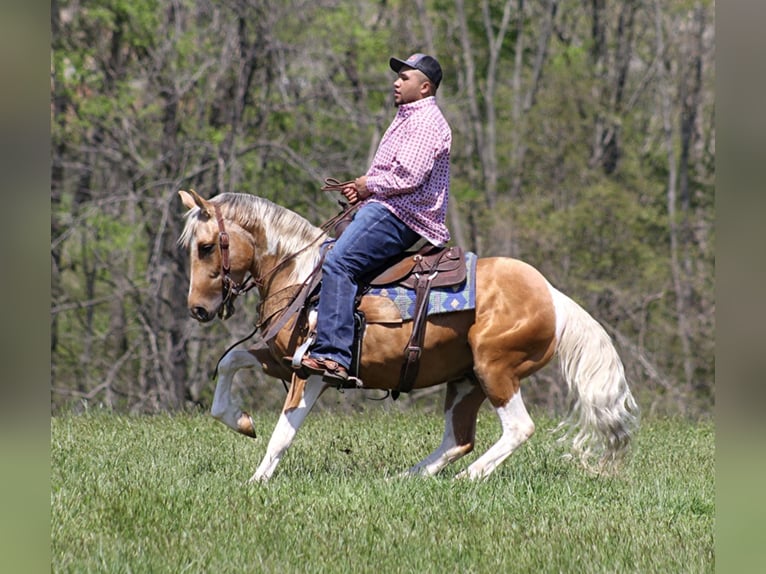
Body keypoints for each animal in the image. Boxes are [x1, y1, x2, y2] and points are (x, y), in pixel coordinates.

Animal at [177, 191, 640, 484]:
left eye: (205, 247)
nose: (197, 309)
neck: (300, 273)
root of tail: (552, 296)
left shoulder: (311, 372)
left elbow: (284, 432)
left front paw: (256, 480)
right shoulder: (281, 361)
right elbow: (229, 363)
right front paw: (241, 421)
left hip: (496, 370)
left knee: (517, 428)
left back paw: (465, 479)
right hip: (466, 380)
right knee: (458, 439)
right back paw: (406, 478)